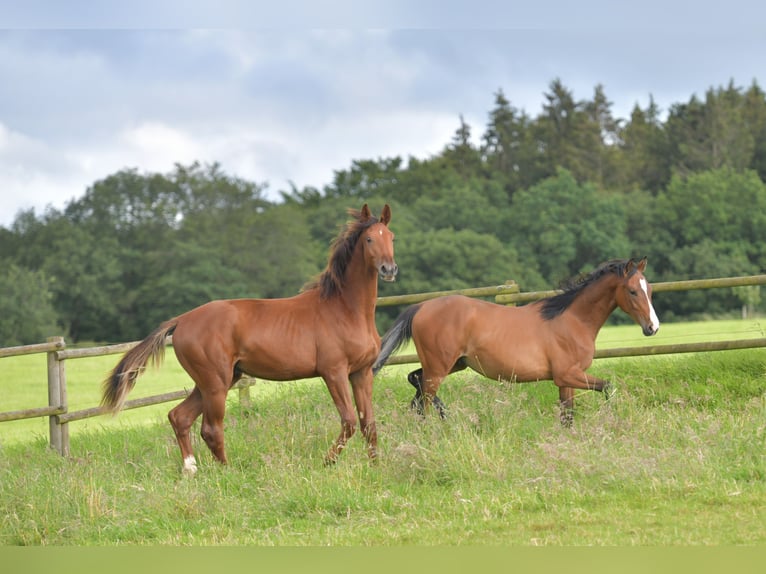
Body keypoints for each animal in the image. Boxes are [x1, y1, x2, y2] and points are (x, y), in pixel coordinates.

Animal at [103, 205, 400, 474]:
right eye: (369, 239)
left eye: (392, 236)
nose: (389, 269)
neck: (345, 309)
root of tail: (182, 320)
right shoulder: (334, 372)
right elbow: (349, 421)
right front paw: (326, 463)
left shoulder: (362, 372)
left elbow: (368, 422)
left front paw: (376, 467)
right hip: (216, 383)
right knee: (210, 428)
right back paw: (229, 472)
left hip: (216, 381)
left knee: (180, 417)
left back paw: (191, 469)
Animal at [374, 258, 660, 426]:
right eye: (632, 291)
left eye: (649, 290)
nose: (653, 328)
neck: (572, 320)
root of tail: (421, 307)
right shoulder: (568, 374)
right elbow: (608, 387)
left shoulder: (566, 379)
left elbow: (567, 414)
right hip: (439, 366)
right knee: (423, 397)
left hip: (454, 364)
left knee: (416, 381)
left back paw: (443, 415)